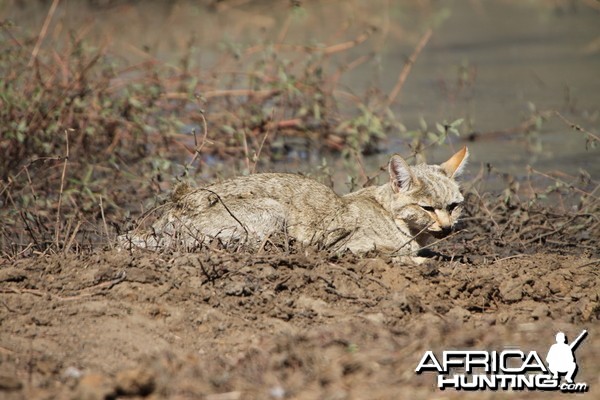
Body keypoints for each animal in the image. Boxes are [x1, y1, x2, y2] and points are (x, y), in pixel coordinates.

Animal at [120, 145, 468, 264]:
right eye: (426, 208)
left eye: (453, 206)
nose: (448, 227)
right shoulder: (348, 246)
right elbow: (397, 255)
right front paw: (420, 260)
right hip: (272, 211)